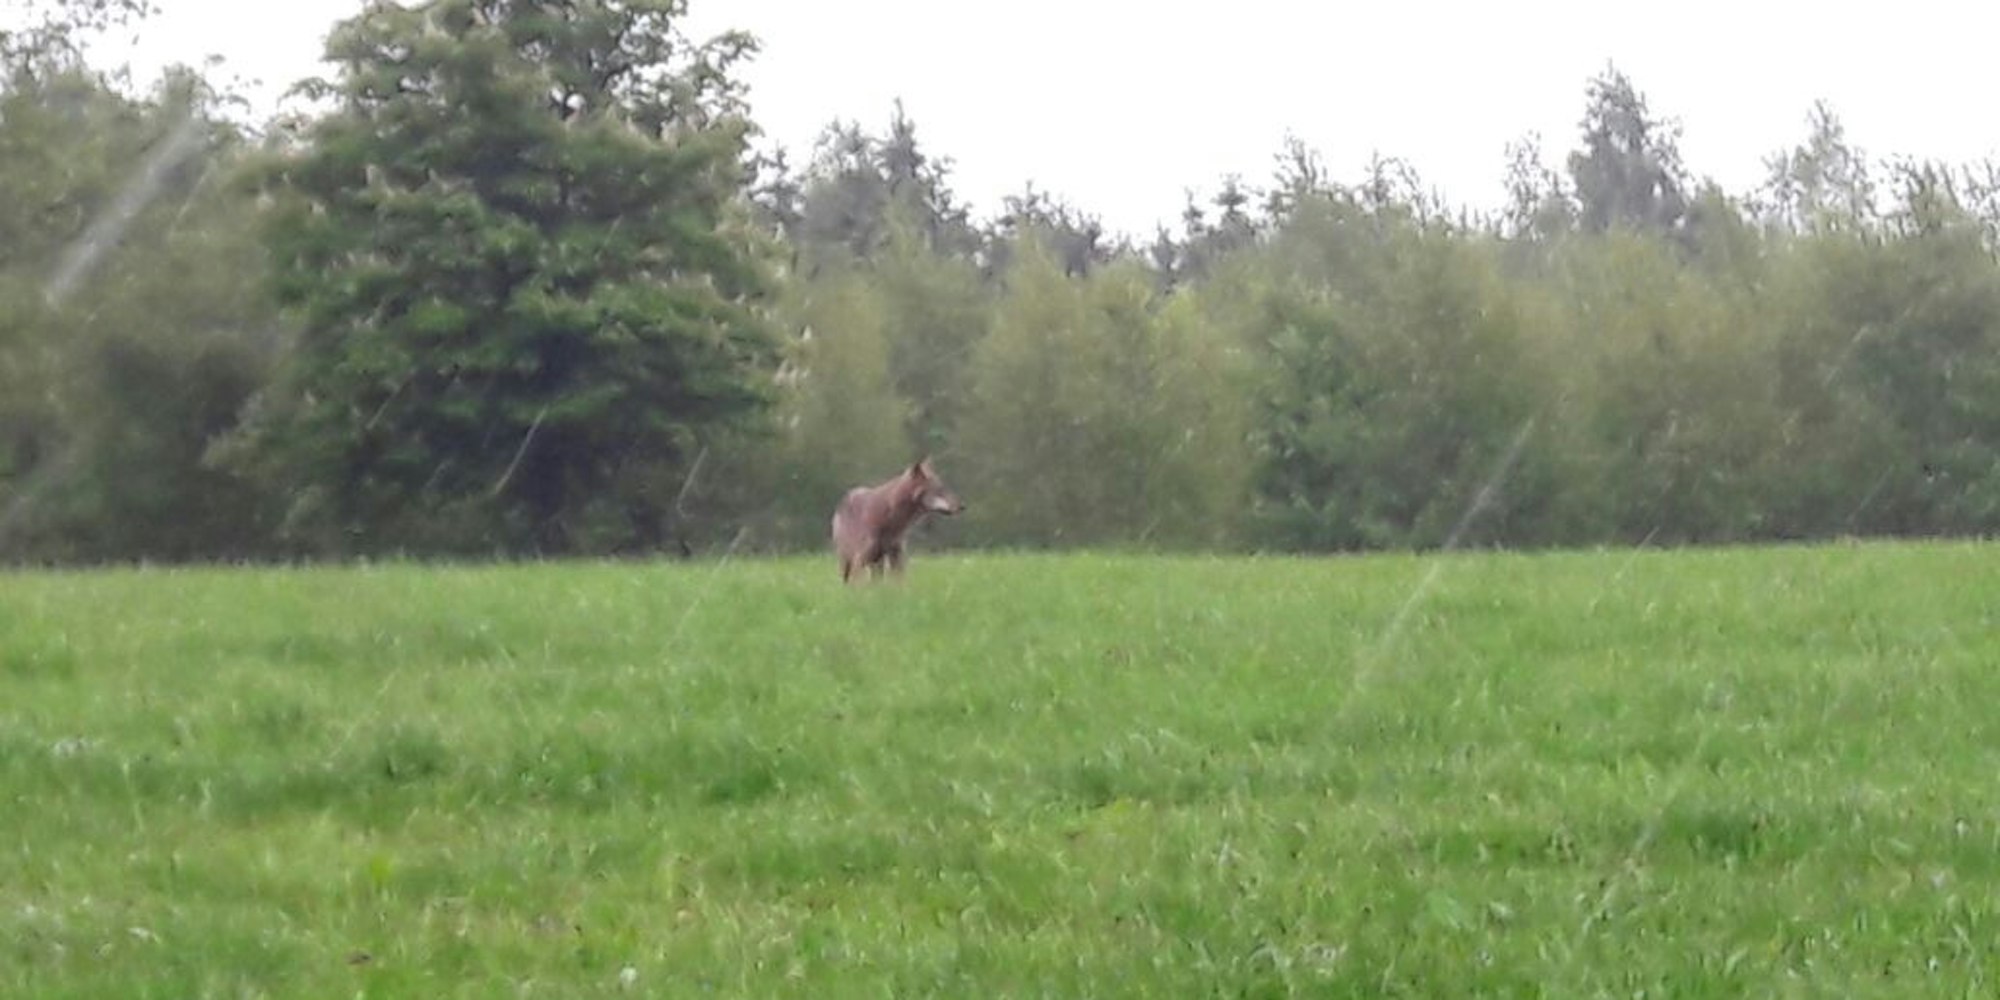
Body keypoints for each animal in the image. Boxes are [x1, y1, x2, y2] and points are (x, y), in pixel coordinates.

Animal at [830, 457, 965, 583]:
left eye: (943, 488)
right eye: (940, 490)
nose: (962, 507)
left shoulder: (896, 556)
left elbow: (899, 584)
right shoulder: (860, 560)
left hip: (877, 562)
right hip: (850, 561)